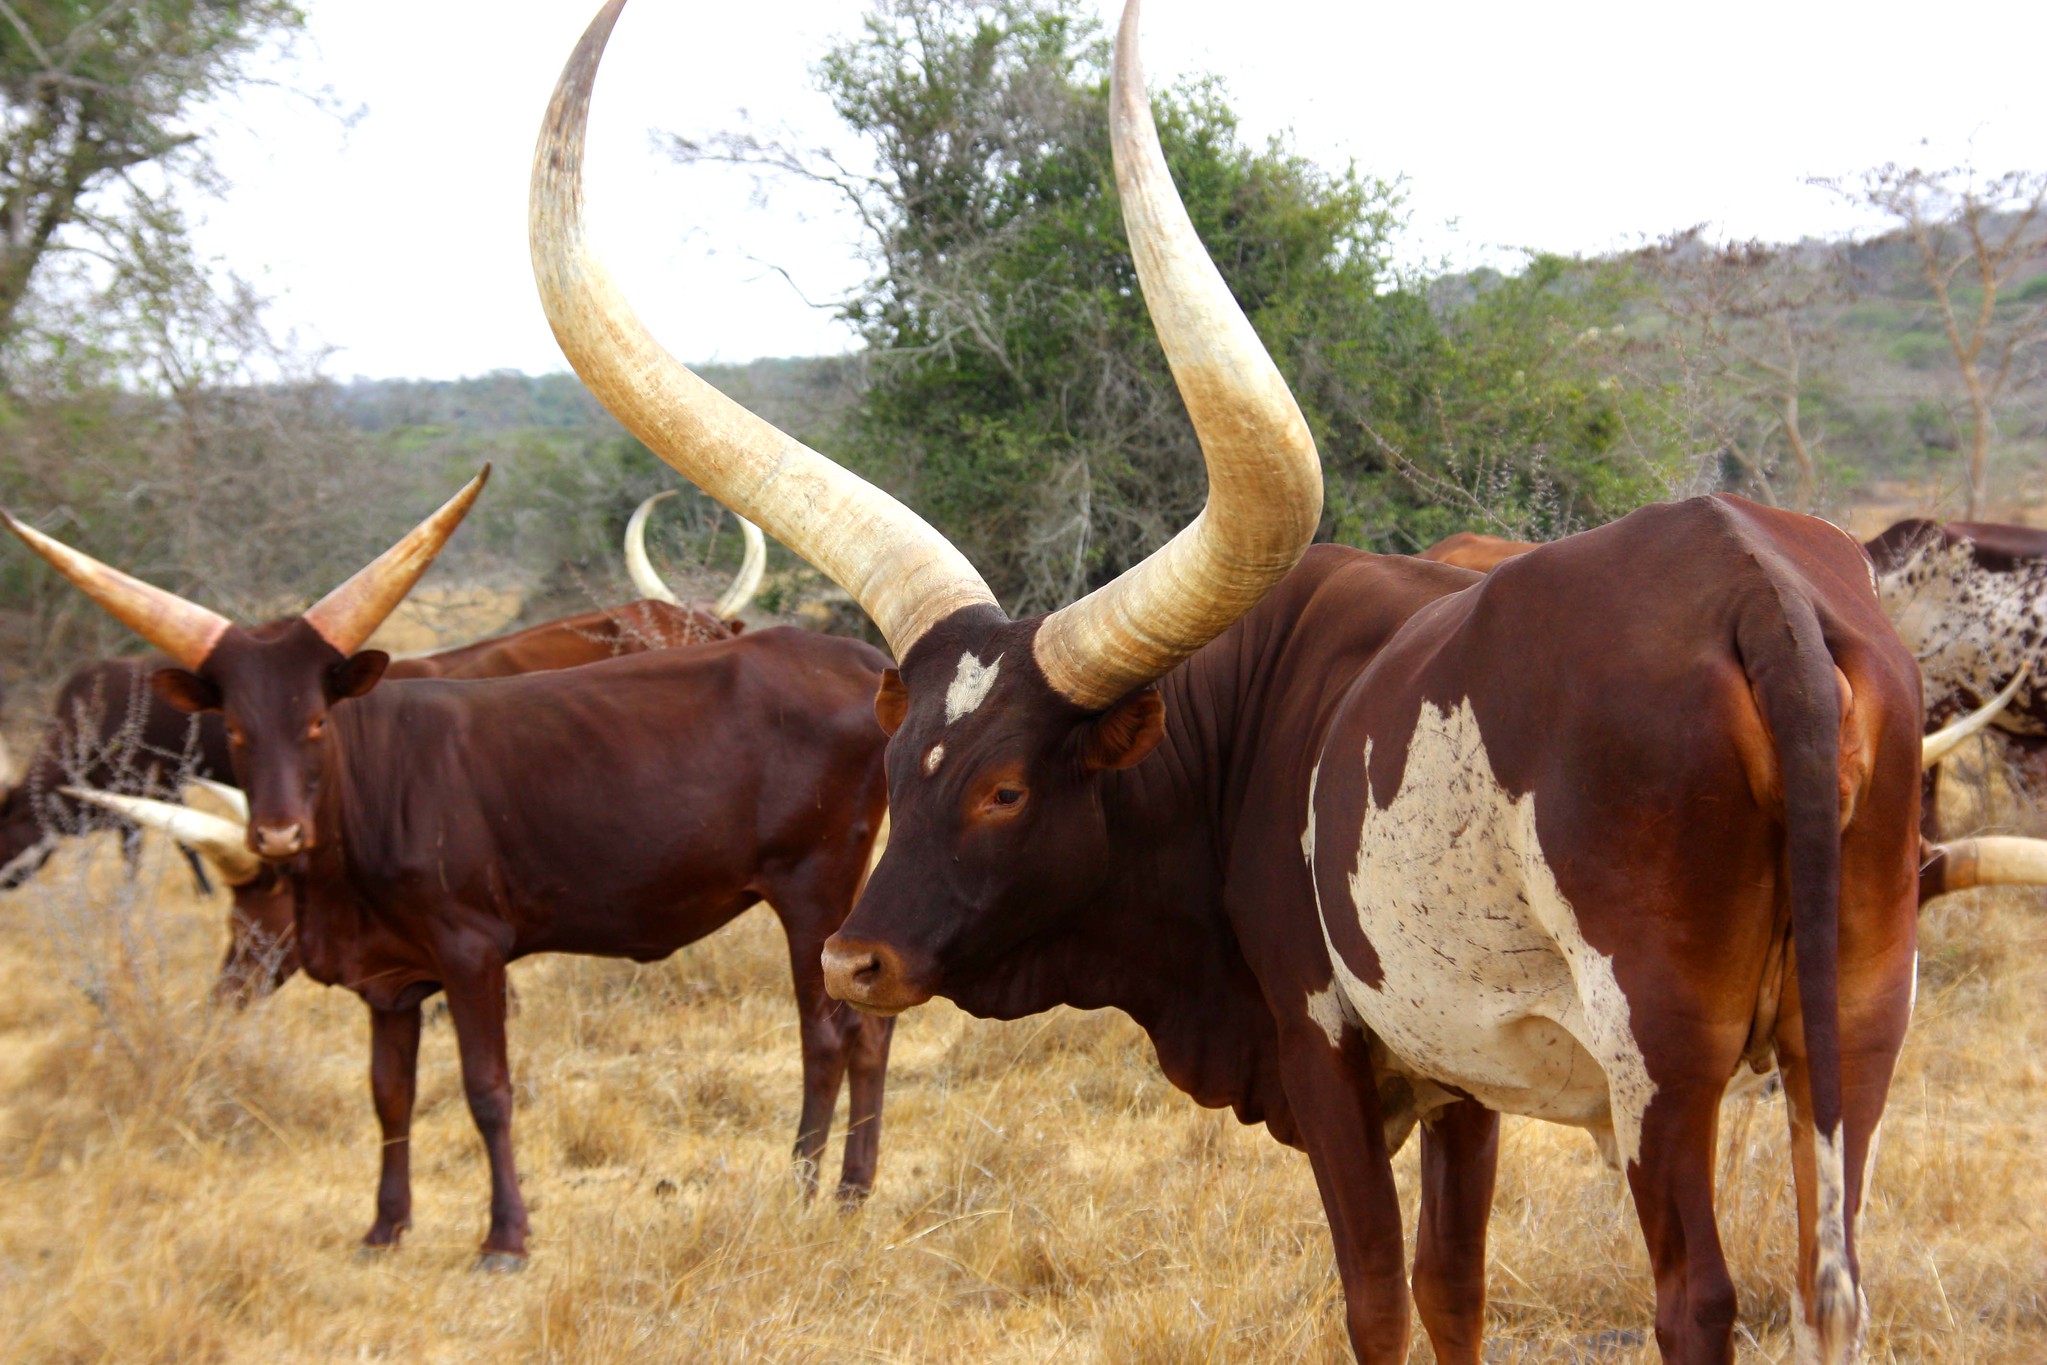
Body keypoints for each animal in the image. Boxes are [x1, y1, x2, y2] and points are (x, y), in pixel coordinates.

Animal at [536, 5, 1924, 1358]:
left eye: (1003, 790)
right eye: (893, 765)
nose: (852, 963)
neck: (1241, 738)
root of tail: (1752, 588)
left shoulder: (1322, 1045)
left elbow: (1375, 1297)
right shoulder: (1453, 1071)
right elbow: (1451, 1290)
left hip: (1661, 1055)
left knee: (1696, 1297)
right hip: (1855, 1018)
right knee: (1834, 1289)